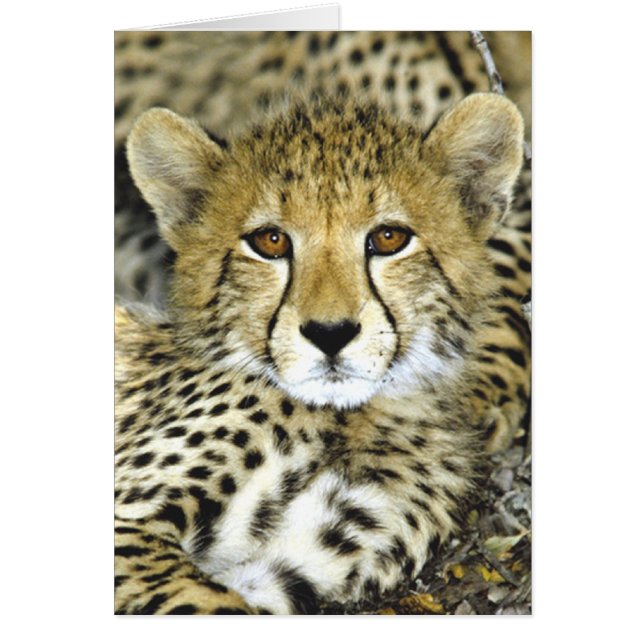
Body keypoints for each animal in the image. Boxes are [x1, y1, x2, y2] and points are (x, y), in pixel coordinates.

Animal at [115, 31, 532, 615]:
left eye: (388, 238)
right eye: (270, 241)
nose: (330, 334)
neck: (358, 419)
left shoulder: (280, 574)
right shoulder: (129, 525)